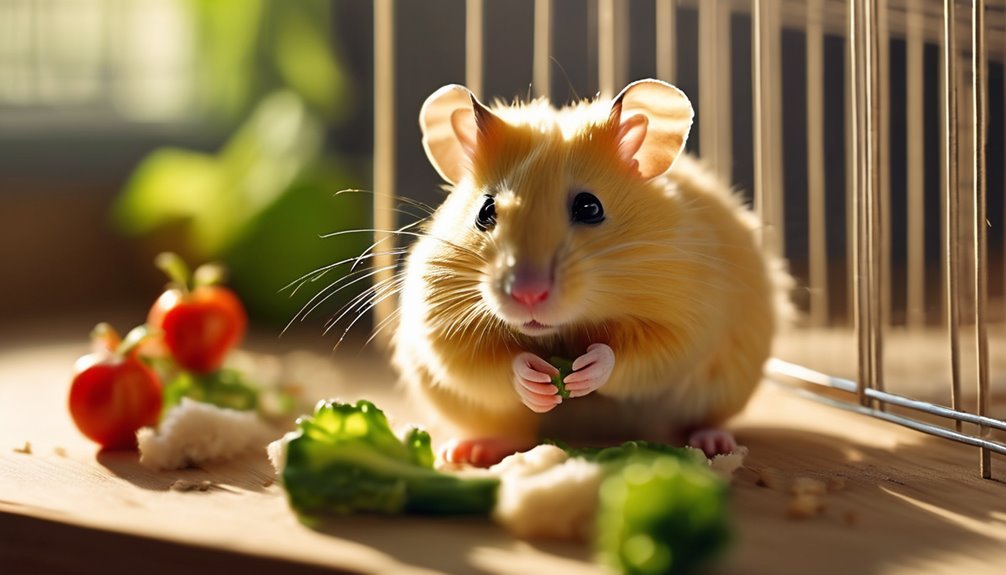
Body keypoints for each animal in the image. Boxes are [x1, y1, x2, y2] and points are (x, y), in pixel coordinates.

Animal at [392, 79, 790, 467]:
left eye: (590, 207)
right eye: (485, 212)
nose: (527, 294)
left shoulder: (687, 313)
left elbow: (641, 355)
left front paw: (587, 369)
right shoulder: (439, 319)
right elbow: (478, 361)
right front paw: (534, 377)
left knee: (702, 420)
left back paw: (713, 443)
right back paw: (467, 451)